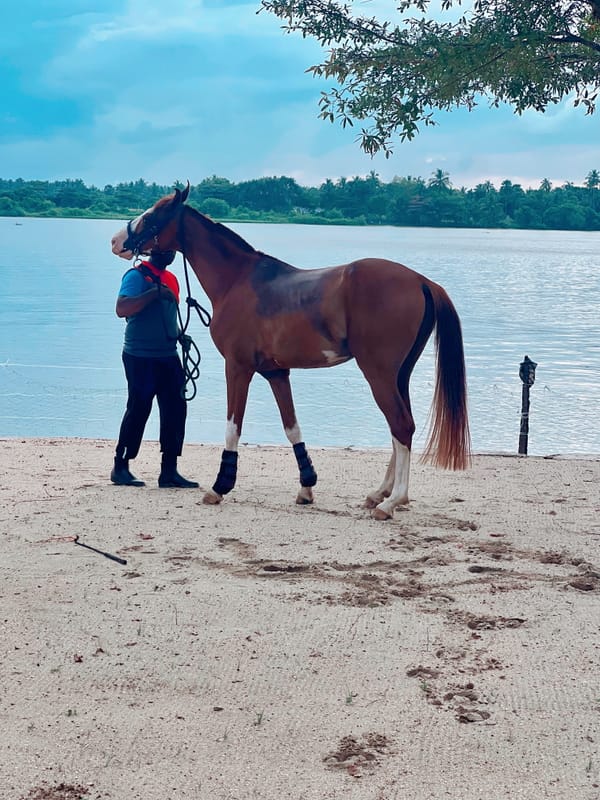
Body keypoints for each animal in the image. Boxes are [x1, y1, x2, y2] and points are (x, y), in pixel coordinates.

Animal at [111, 184, 470, 520]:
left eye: (153, 215)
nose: (117, 240)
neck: (238, 280)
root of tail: (421, 280)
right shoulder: (276, 372)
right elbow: (292, 426)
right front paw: (306, 487)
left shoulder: (238, 368)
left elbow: (233, 426)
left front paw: (220, 486)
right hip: (399, 375)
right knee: (399, 427)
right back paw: (379, 494)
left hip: (379, 373)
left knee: (400, 424)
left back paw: (392, 501)